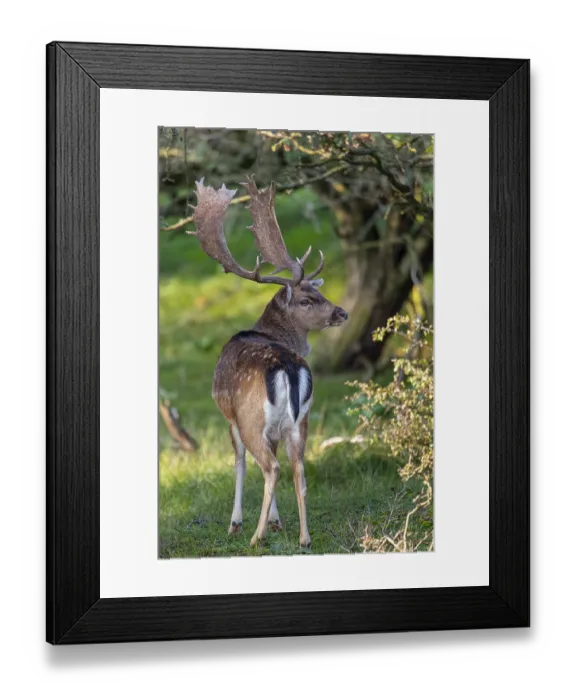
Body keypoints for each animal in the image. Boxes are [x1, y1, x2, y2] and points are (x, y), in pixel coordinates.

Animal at [189, 177, 348, 548]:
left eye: (317, 293)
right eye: (308, 299)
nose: (342, 312)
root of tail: (289, 366)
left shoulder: (230, 416)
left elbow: (238, 463)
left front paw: (237, 523)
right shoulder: (280, 426)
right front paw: (277, 521)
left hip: (251, 417)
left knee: (270, 467)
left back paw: (255, 536)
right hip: (301, 421)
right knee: (299, 468)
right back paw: (304, 538)